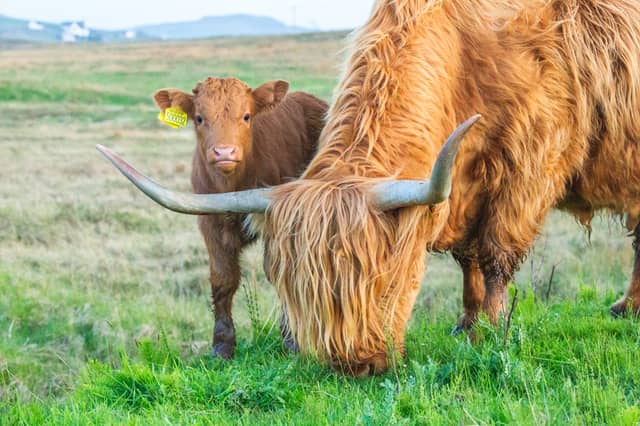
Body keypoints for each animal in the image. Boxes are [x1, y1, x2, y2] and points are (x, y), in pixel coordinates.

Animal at [141, 77, 326, 359]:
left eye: (246, 116)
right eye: (199, 118)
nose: (224, 152)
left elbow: (280, 271)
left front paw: (291, 340)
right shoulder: (209, 223)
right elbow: (223, 278)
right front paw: (222, 345)